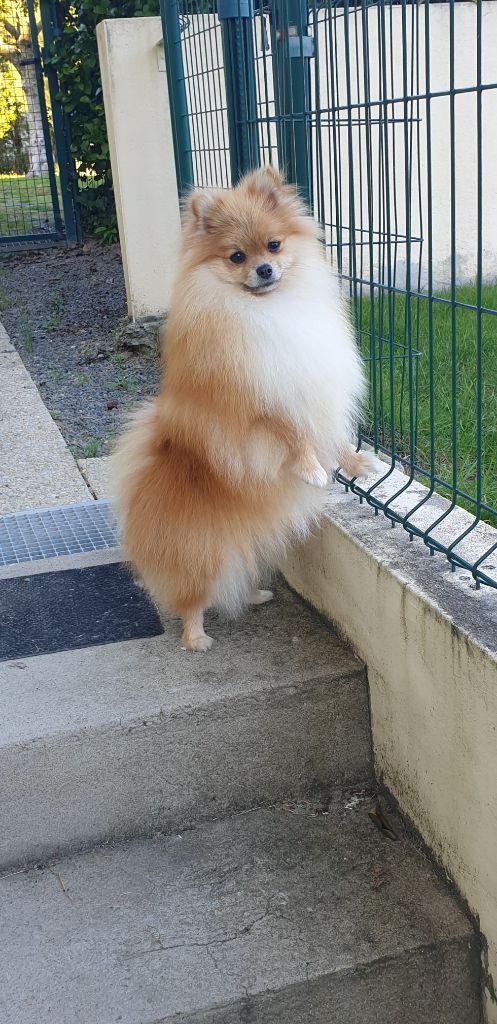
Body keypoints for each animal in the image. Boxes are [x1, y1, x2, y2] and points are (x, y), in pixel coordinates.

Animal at [112, 166, 374, 651]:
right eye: (236, 257)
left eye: (274, 245)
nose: (264, 268)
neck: (270, 310)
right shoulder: (263, 402)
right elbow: (295, 433)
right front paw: (312, 469)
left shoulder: (317, 388)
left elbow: (332, 434)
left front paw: (355, 463)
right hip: (203, 553)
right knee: (193, 598)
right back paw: (196, 638)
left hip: (245, 544)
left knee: (240, 572)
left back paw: (255, 595)